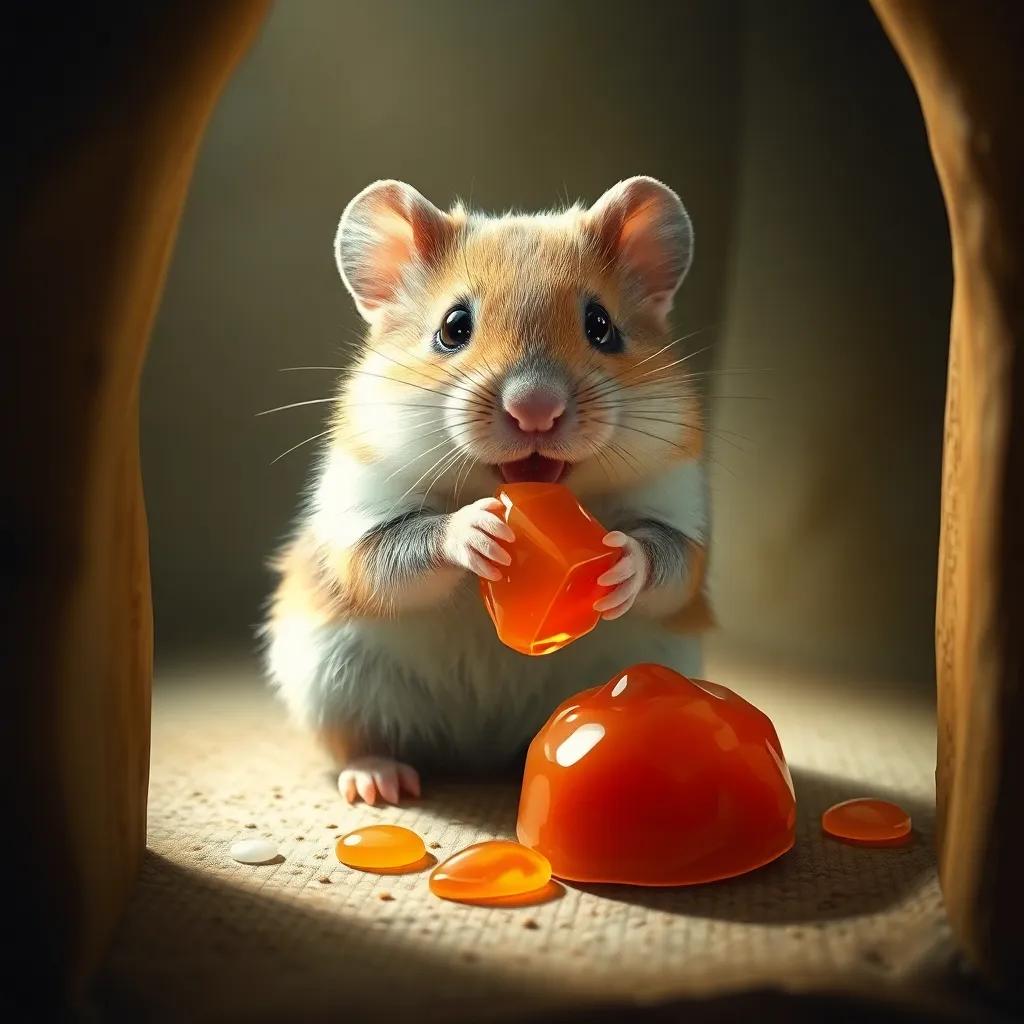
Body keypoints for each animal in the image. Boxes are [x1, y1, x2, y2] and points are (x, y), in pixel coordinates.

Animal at [263, 176, 712, 805]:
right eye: (454, 328)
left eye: (602, 326)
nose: (535, 409)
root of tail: (478, 748)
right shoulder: (365, 520)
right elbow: (398, 554)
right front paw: (479, 530)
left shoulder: (679, 514)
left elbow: (665, 560)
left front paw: (619, 558)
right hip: (333, 680)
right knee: (362, 741)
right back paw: (380, 783)